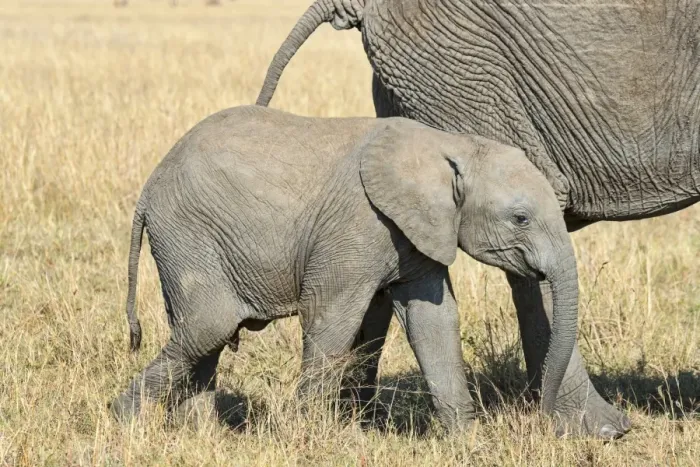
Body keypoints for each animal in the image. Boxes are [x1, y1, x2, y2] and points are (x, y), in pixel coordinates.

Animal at [110, 105, 580, 432]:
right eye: (521, 218)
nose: (542, 415)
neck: (452, 145)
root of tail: (149, 186)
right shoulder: (357, 226)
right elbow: (330, 317)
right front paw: (305, 435)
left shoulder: (417, 232)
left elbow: (434, 320)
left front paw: (466, 440)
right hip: (188, 233)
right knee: (210, 326)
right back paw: (124, 421)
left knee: (203, 336)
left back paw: (201, 435)